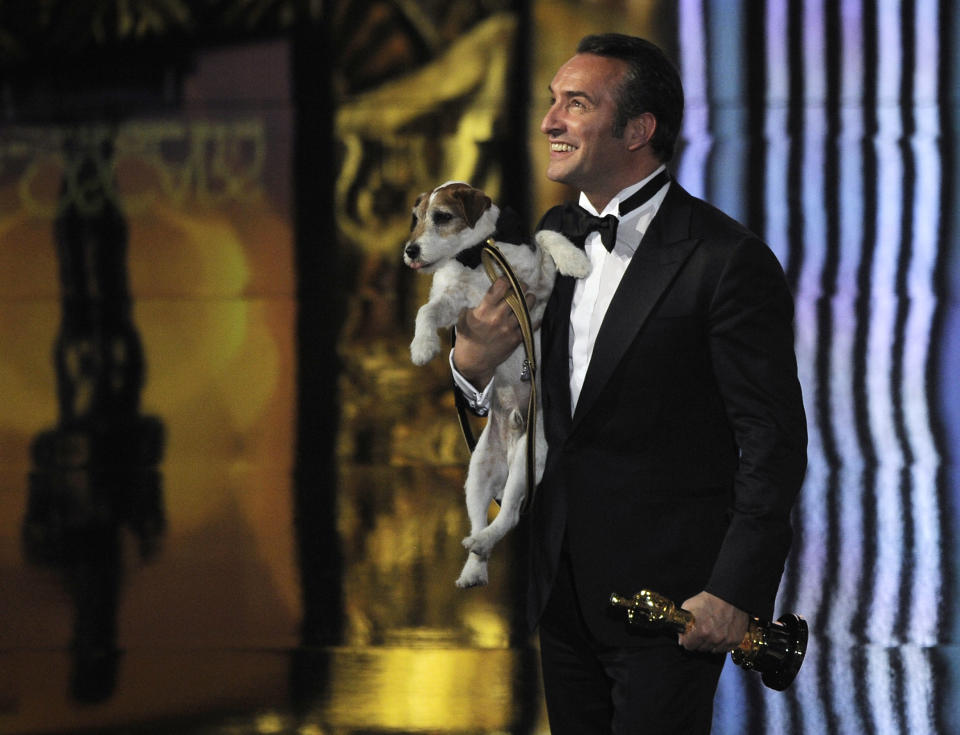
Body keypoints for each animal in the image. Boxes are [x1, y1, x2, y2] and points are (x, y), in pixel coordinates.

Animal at [402, 180, 588, 588]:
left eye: (441, 217)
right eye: (415, 218)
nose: (410, 251)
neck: (476, 256)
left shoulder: (538, 289)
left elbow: (545, 236)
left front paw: (575, 259)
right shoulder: (454, 306)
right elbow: (425, 310)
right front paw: (422, 346)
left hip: (526, 466)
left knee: (510, 516)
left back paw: (483, 543)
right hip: (476, 474)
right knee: (481, 518)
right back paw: (475, 563)